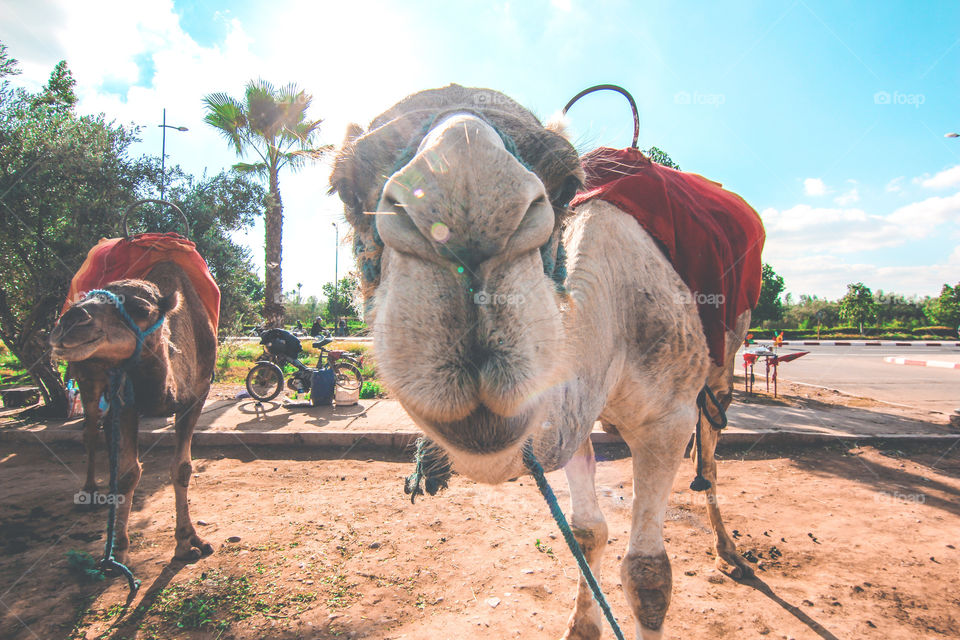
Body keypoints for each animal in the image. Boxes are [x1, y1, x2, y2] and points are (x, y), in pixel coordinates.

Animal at [50, 262, 217, 563]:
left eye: (141, 308)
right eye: (87, 296)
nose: (70, 321)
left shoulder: (196, 396)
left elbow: (183, 468)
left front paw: (189, 541)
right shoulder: (126, 401)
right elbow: (129, 473)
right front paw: (118, 550)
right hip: (85, 376)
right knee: (91, 430)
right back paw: (90, 491)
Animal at [331, 85, 759, 639]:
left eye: (567, 183)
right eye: (344, 187)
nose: (464, 196)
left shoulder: (666, 420)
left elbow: (648, 574)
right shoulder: (572, 413)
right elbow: (586, 531)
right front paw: (580, 627)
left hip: (726, 356)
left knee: (710, 451)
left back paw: (730, 552)